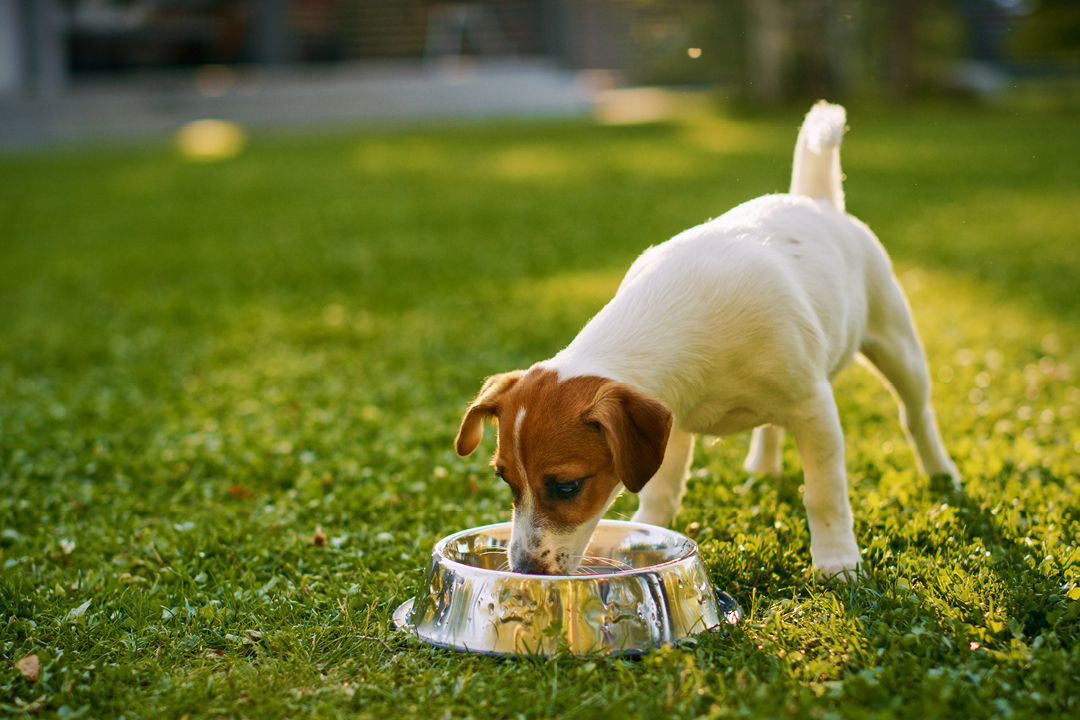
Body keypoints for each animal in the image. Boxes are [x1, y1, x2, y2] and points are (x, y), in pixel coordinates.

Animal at [451, 102, 959, 578]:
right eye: (505, 480)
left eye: (566, 485)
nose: (523, 569)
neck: (676, 317)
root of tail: (814, 199)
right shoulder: (671, 427)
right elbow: (661, 495)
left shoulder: (815, 409)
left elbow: (824, 494)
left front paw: (838, 563)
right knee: (772, 427)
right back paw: (762, 467)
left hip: (897, 346)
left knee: (916, 415)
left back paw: (942, 474)